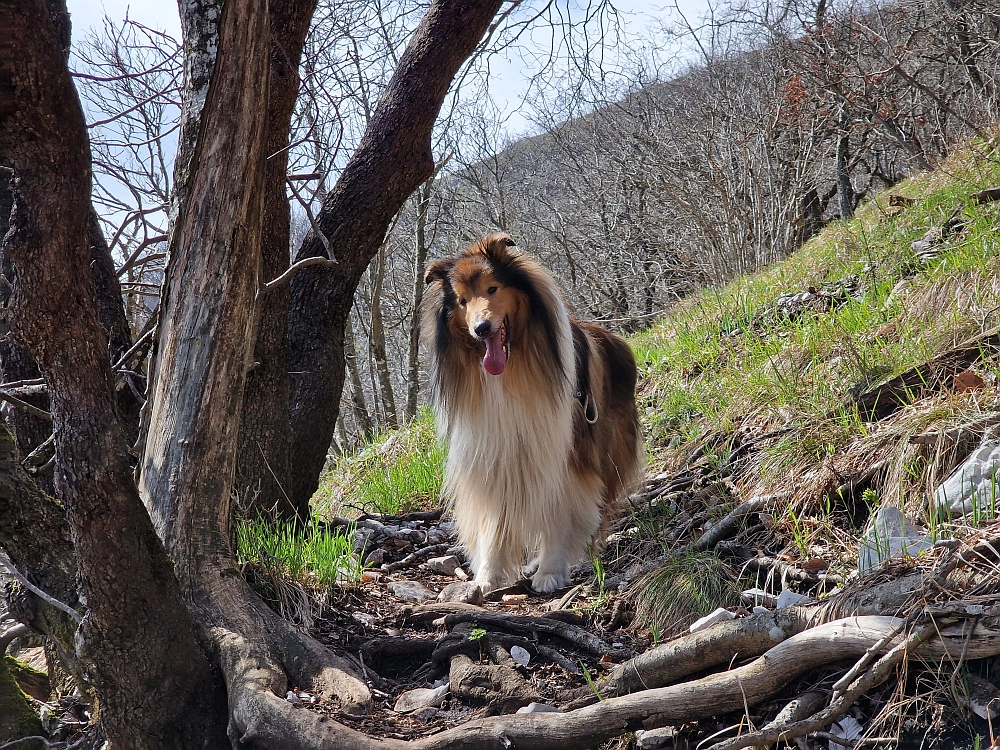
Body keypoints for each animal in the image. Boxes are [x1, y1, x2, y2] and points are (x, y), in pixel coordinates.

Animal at [420, 235, 640, 592]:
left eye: (493, 288)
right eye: (463, 301)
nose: (481, 329)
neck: (512, 368)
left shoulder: (565, 454)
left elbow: (559, 514)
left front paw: (550, 571)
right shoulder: (494, 454)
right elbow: (493, 522)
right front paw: (487, 576)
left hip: (606, 449)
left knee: (600, 510)